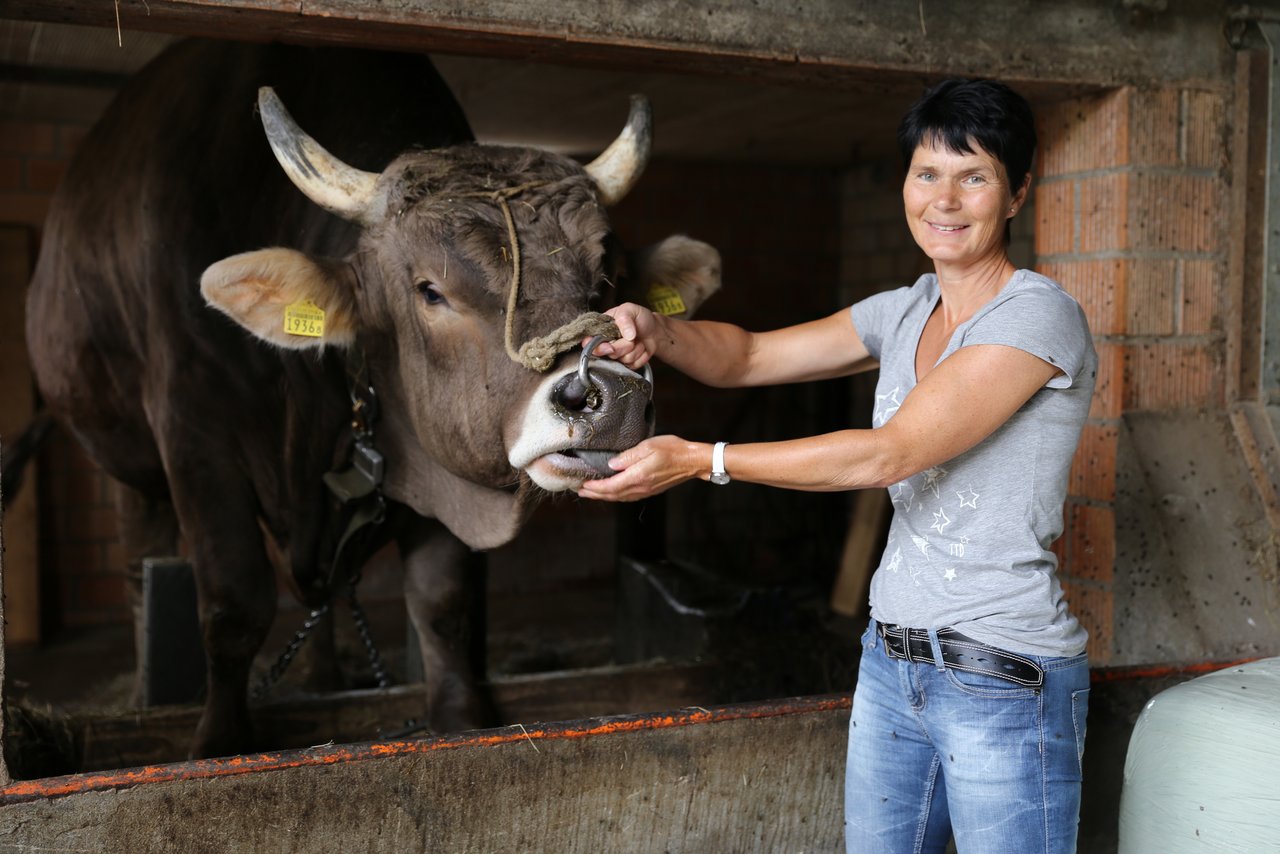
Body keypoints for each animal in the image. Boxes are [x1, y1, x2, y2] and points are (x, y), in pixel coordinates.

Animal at [27, 41, 721, 763]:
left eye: (607, 279)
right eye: (429, 291)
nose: (610, 399)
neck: (318, 405)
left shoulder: (435, 458)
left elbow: (442, 603)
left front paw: (460, 720)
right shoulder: (196, 438)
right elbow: (233, 603)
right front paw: (219, 742)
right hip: (126, 466)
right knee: (141, 569)